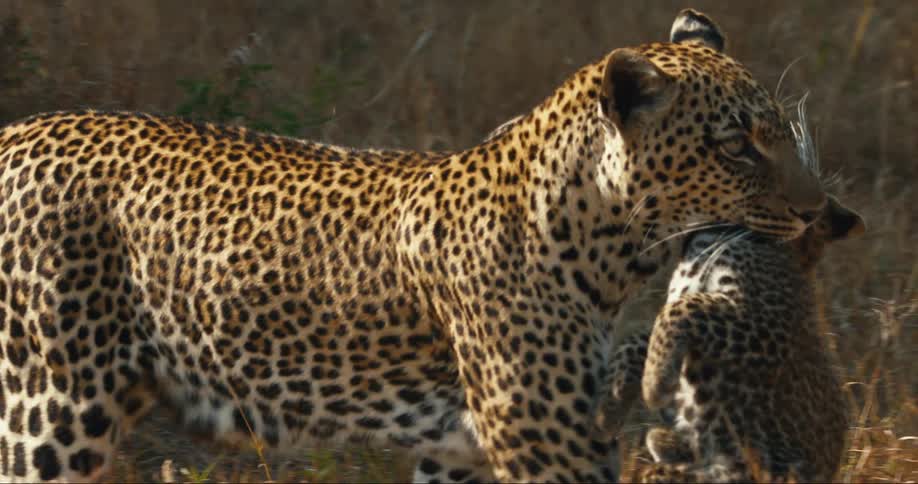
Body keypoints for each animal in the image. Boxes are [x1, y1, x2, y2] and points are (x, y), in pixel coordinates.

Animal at [0, 8, 828, 482]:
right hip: (53, 404)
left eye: (778, 132)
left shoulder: (460, 451)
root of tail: (20, 131)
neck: (602, 242)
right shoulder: (544, 439)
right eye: (737, 148)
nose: (819, 211)